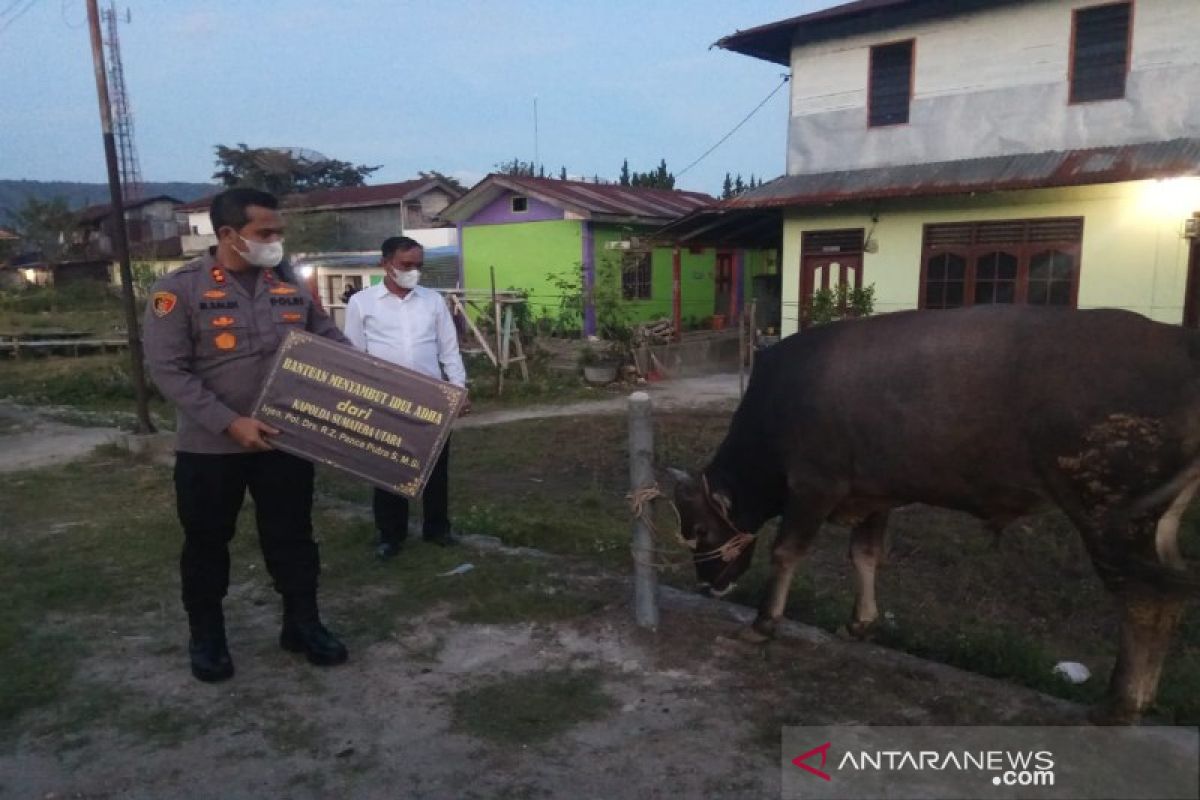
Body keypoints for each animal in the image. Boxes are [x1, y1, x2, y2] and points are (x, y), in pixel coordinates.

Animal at [676, 307, 1200, 724]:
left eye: (700, 529)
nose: (707, 584)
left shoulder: (814, 485)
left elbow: (787, 553)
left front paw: (764, 623)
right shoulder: (874, 493)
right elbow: (865, 556)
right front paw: (860, 622)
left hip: (1109, 511)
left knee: (1145, 597)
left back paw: (1118, 703)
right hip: (1153, 518)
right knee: (1169, 592)